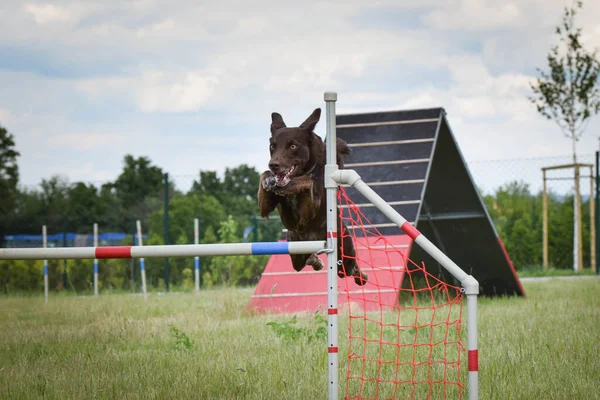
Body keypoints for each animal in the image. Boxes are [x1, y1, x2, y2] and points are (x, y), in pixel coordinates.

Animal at [258, 108, 370, 286]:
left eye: (293, 146)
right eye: (272, 146)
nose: (273, 165)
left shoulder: (309, 209)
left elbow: (308, 180)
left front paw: (291, 183)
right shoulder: (272, 209)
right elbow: (264, 178)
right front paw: (269, 179)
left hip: (343, 251)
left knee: (351, 268)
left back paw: (362, 276)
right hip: (295, 250)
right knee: (304, 260)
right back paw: (315, 261)